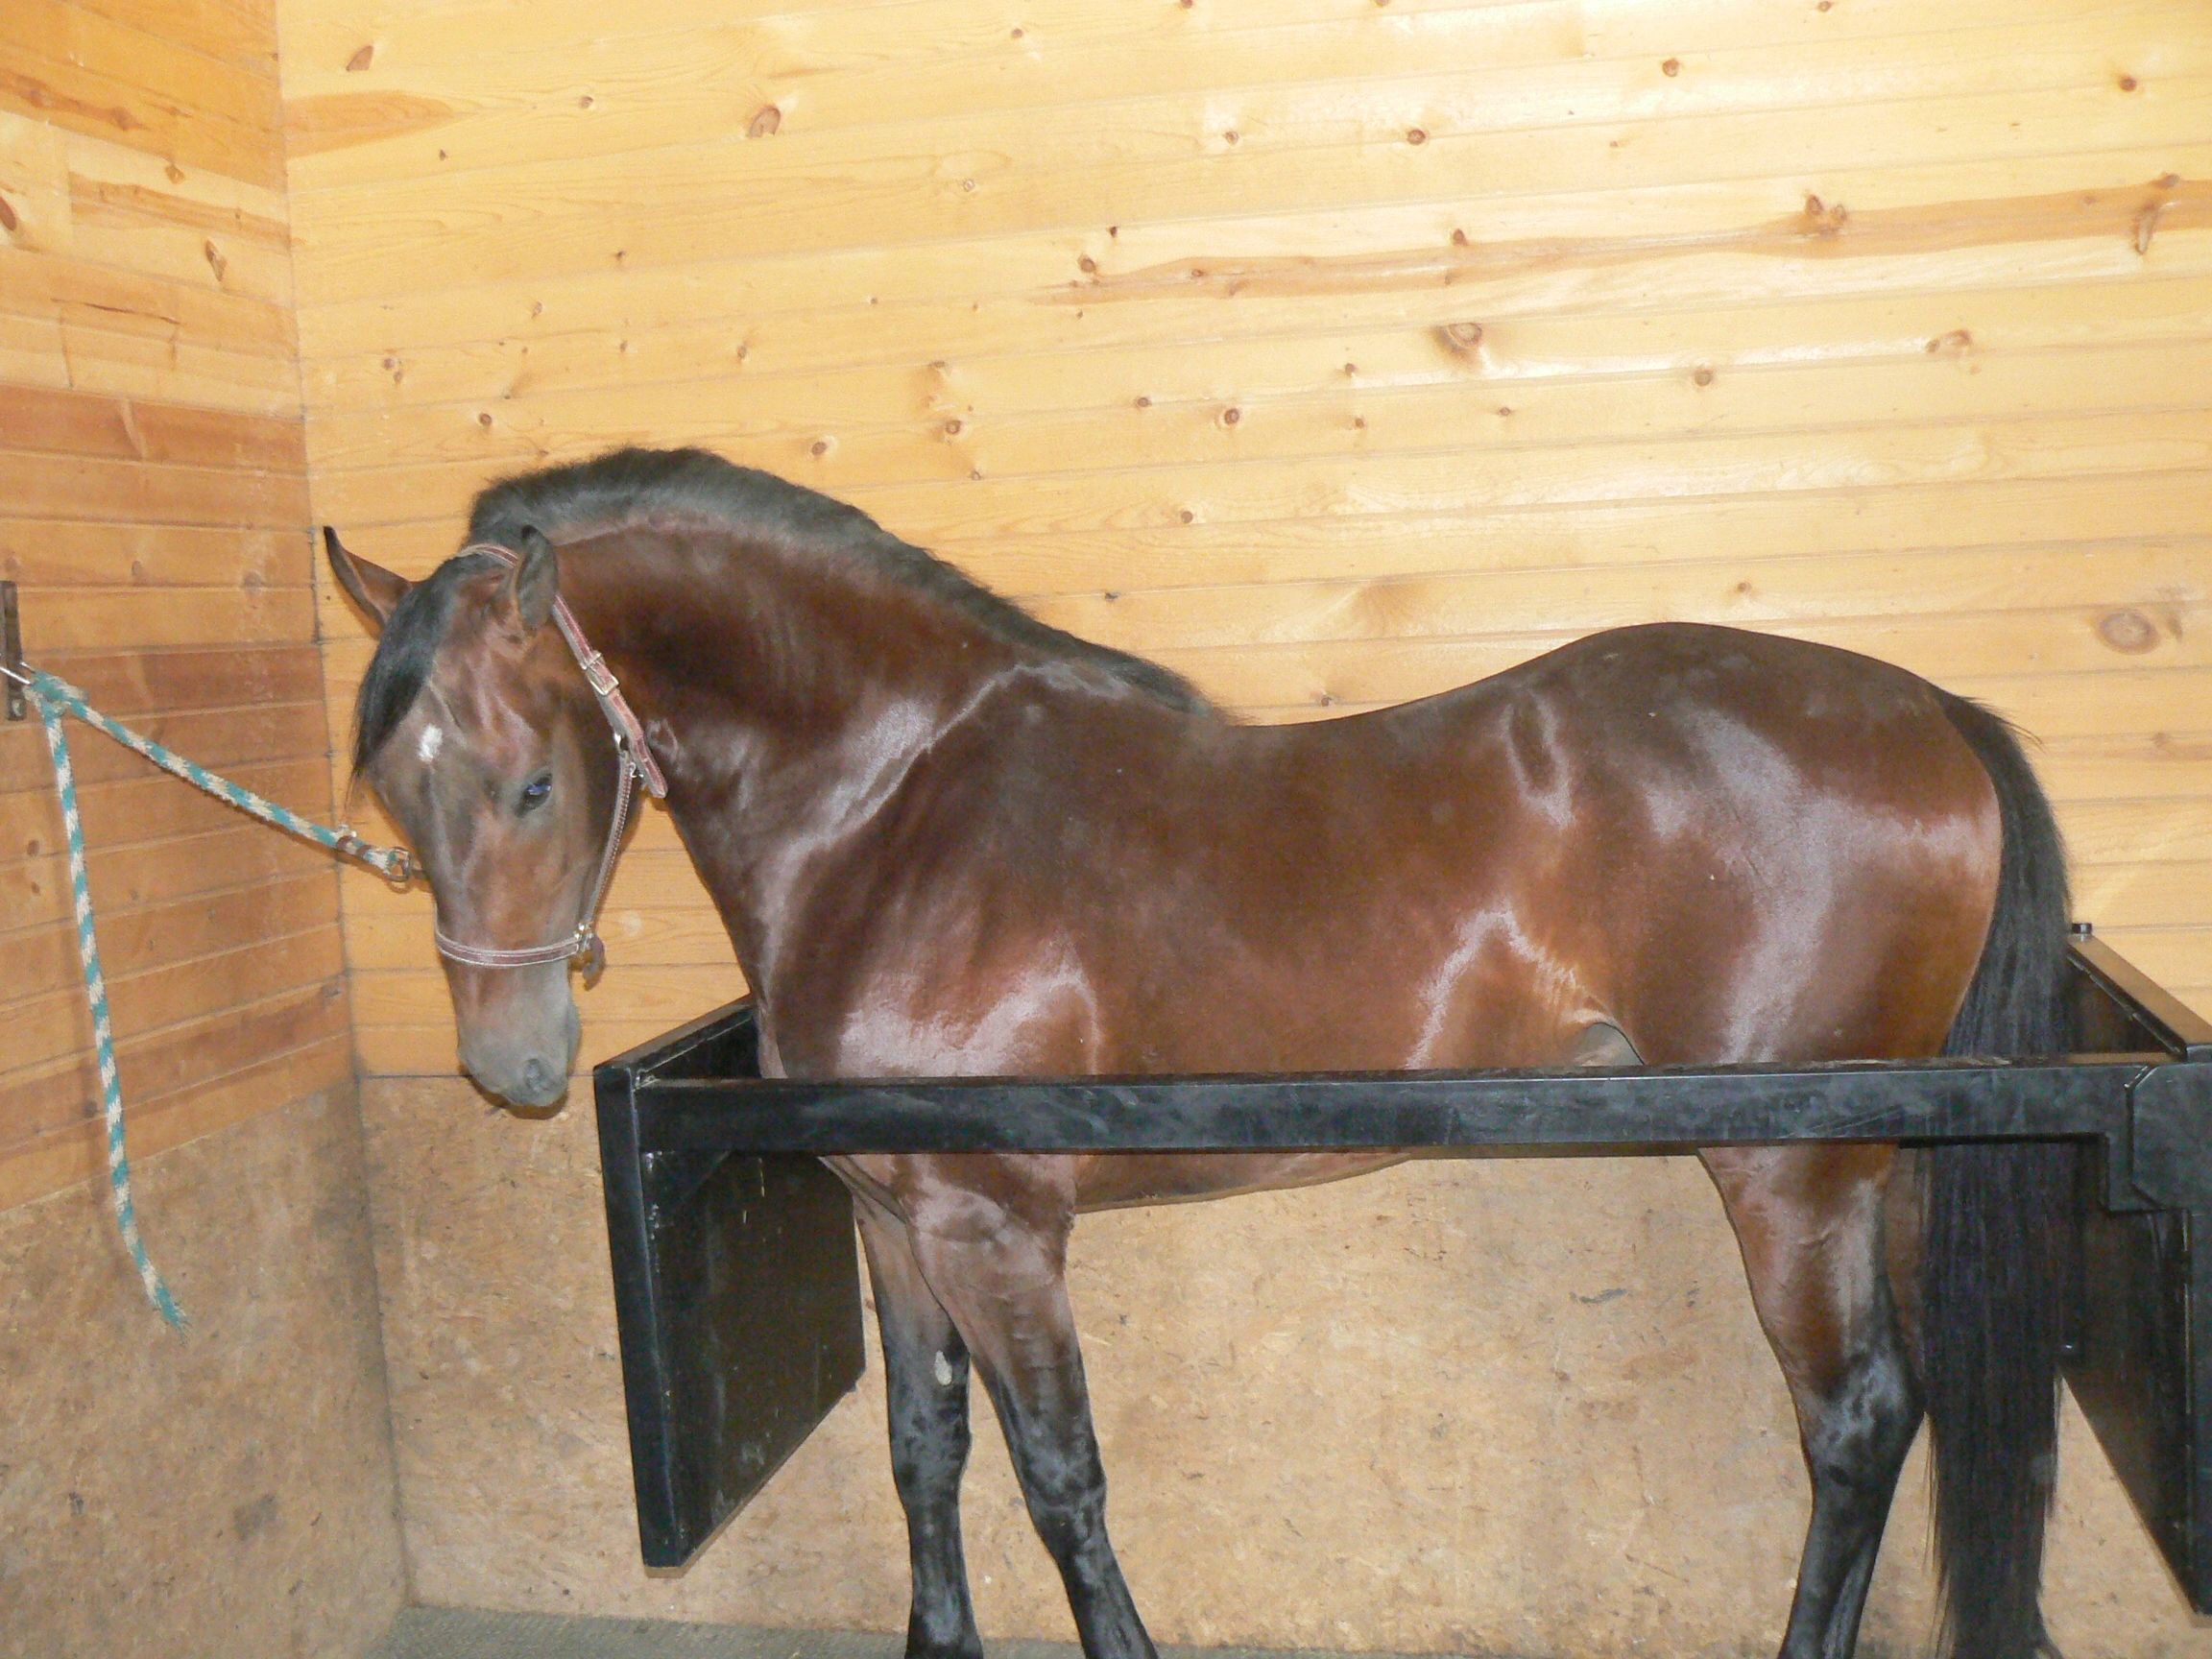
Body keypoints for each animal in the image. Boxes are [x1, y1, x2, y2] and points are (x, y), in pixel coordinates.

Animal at [327, 445, 2073, 1659]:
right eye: (393, 794)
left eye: (529, 782)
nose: (512, 1061)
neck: (896, 807)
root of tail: (1930, 712)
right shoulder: (890, 1216)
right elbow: (923, 1453)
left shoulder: (993, 1227)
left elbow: (1058, 1478)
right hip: (1880, 1171)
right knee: (1901, 1406)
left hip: (1788, 1171)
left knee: (1850, 1423)